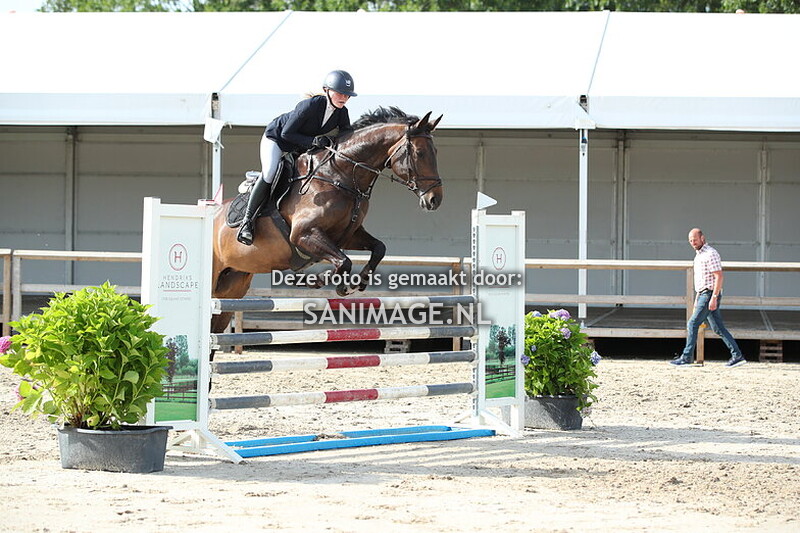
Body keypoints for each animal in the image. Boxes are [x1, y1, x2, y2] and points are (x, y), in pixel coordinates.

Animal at [211, 107, 444, 334]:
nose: (435, 200)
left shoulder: (348, 235)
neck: (339, 175)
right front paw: (317, 281)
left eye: (436, 152)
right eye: (420, 153)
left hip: (233, 285)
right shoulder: (303, 234)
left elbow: (378, 248)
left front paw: (358, 281)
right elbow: (343, 261)